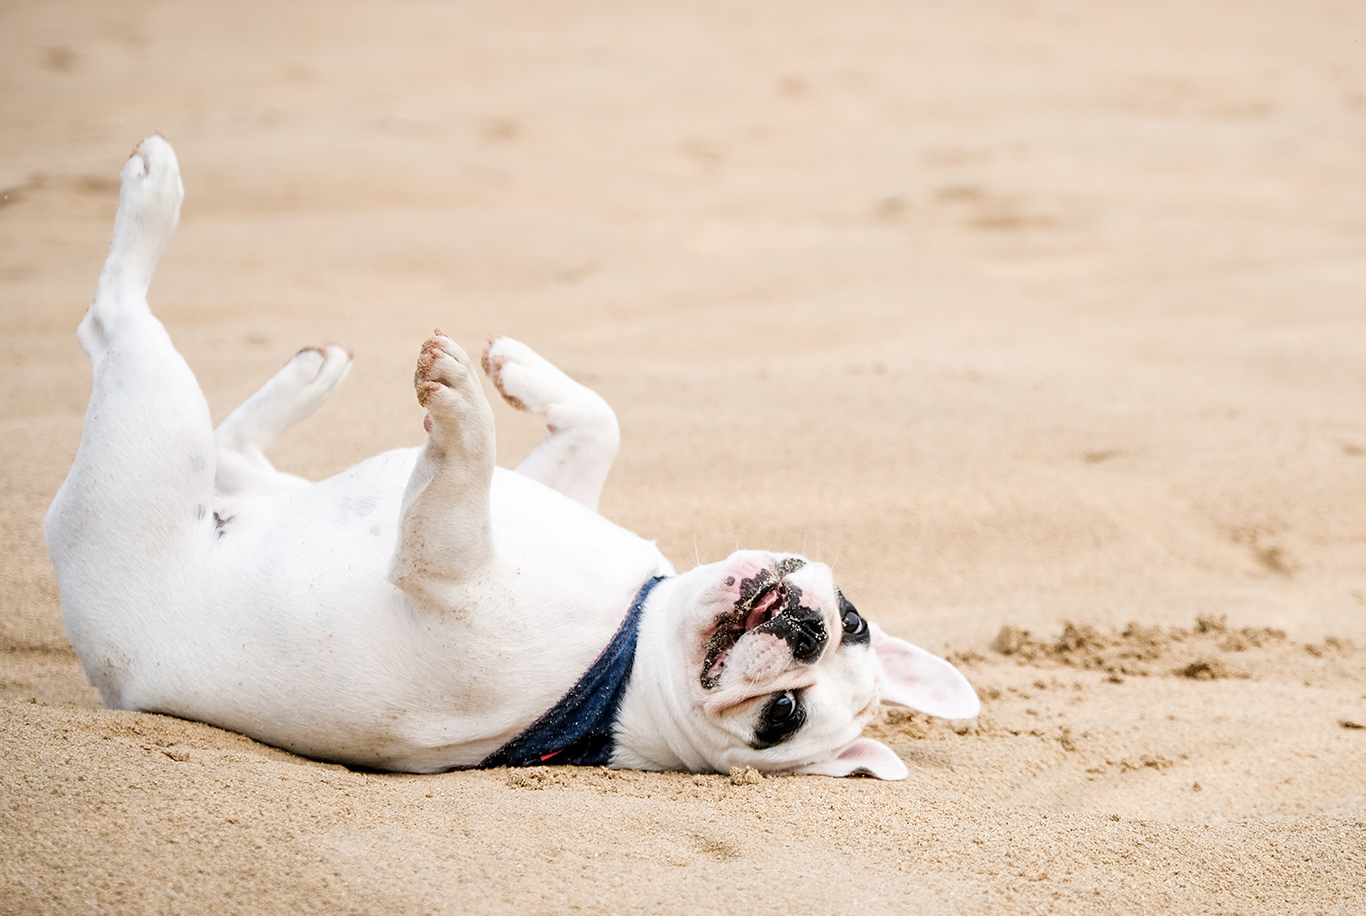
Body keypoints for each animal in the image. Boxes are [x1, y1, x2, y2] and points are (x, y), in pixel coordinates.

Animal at [45, 136, 983, 780]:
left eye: (783, 715)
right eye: (853, 620)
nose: (808, 627)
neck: (637, 644)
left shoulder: (447, 569)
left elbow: (462, 467)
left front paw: (461, 398)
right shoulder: (550, 489)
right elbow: (601, 422)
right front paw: (521, 373)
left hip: (143, 441)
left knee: (117, 323)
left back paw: (152, 196)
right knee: (230, 448)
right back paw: (310, 374)